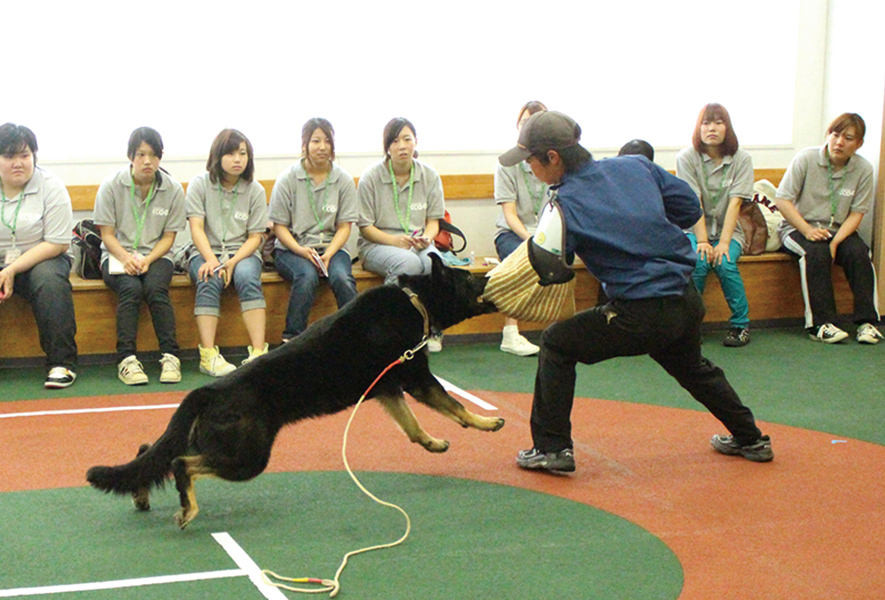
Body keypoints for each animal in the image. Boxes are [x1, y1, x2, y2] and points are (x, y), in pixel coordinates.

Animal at [91, 255, 504, 528]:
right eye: (471, 281)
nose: (493, 276)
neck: (416, 300)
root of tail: (207, 391)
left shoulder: (388, 390)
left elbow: (414, 428)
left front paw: (433, 443)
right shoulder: (417, 378)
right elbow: (455, 405)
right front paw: (486, 422)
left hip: (218, 446)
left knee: (150, 453)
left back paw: (141, 494)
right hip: (248, 457)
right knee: (180, 464)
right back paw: (186, 507)